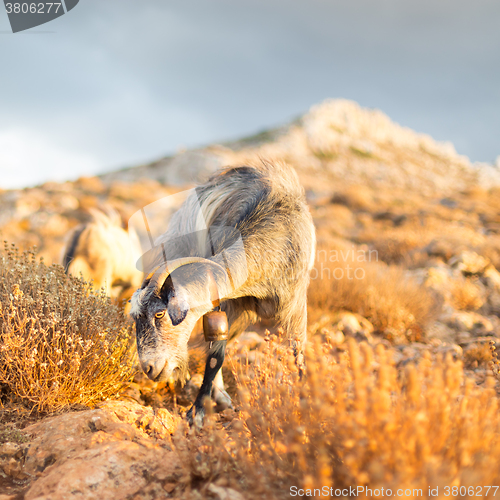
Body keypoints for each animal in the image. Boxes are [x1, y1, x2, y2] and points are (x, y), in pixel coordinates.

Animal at [130, 161, 316, 426]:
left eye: (159, 314)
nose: (149, 369)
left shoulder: (296, 304)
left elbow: (297, 353)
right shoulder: (228, 303)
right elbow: (215, 355)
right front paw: (198, 412)